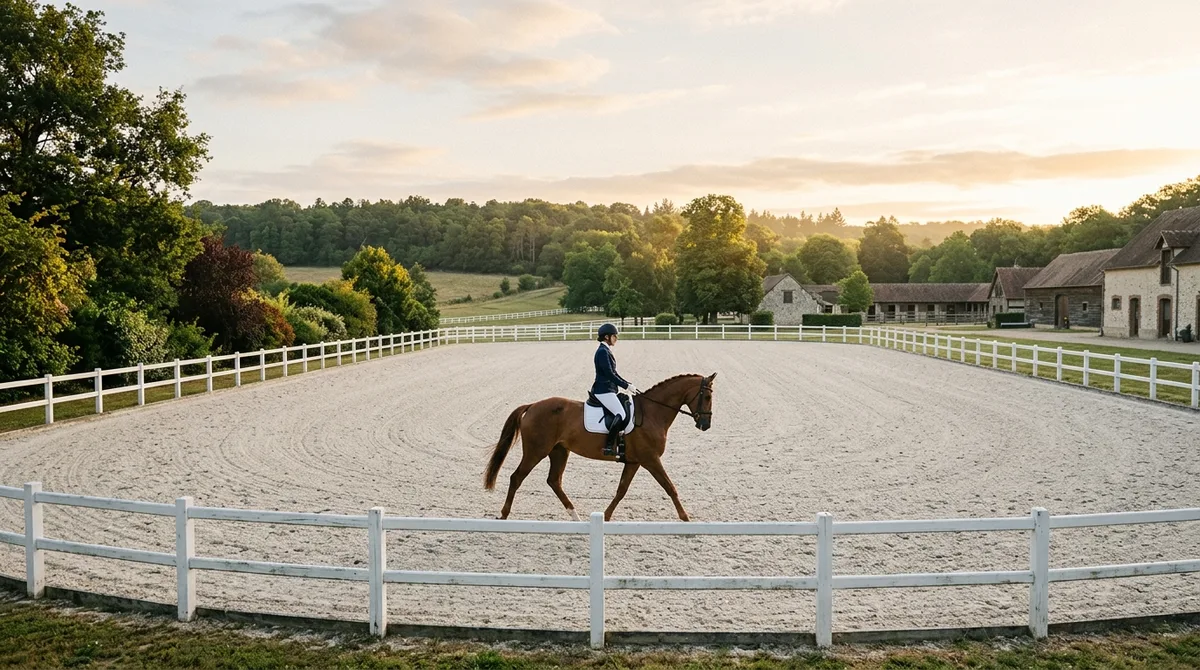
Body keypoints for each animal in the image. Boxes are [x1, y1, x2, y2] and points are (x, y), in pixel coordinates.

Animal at [483, 373, 716, 522]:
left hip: (559, 451)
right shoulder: (650, 459)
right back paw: (503, 514)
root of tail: (532, 406)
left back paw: (575, 516)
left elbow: (621, 490)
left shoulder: (634, 461)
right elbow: (670, 487)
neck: (652, 413)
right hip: (536, 451)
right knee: (516, 478)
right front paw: (685, 518)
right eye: (707, 396)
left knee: (554, 481)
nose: (705, 425)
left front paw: (606, 516)